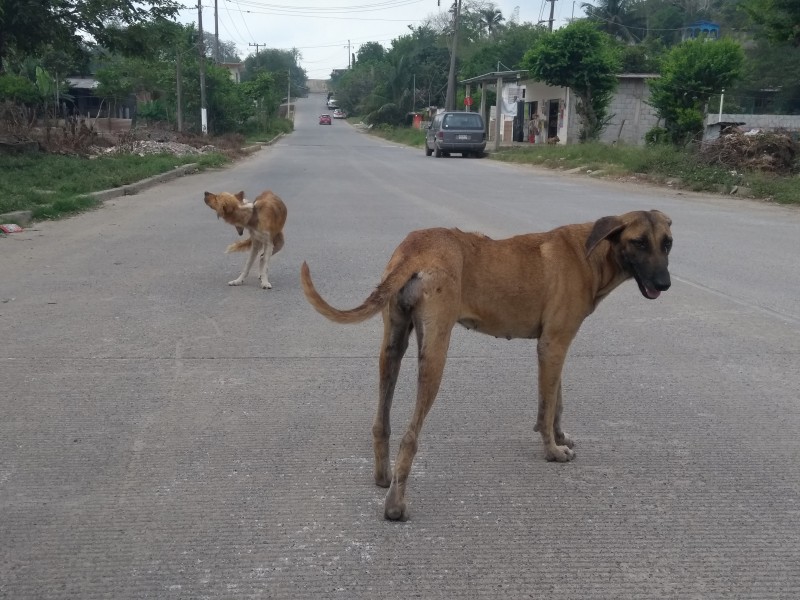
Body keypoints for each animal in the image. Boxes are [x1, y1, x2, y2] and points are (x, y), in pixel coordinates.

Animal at [304, 211, 672, 520]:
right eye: (639, 242)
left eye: (667, 243)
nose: (665, 284)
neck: (589, 253)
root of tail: (415, 250)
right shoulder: (552, 345)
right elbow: (547, 406)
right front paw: (552, 450)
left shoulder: (556, 346)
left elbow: (557, 401)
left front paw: (559, 436)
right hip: (435, 355)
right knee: (410, 437)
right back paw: (395, 505)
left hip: (392, 347)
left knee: (381, 423)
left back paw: (383, 477)